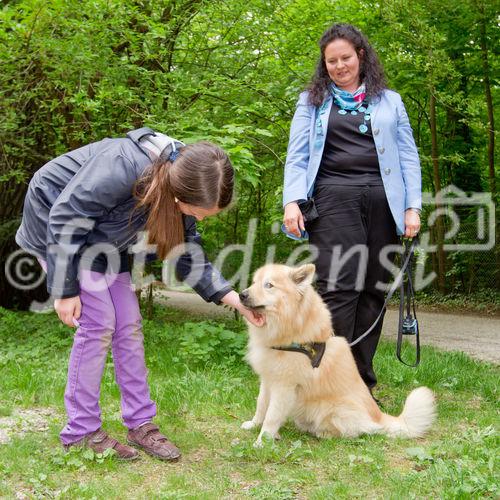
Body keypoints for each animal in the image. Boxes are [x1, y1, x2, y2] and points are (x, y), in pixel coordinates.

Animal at [240, 264, 436, 448]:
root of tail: (379, 417)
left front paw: (262, 441)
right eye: (255, 282)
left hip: (332, 408)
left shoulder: (284, 386)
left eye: (269, 285)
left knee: (355, 431)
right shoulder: (268, 379)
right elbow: (261, 405)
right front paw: (254, 424)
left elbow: (271, 416)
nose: (242, 295)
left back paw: (324, 433)